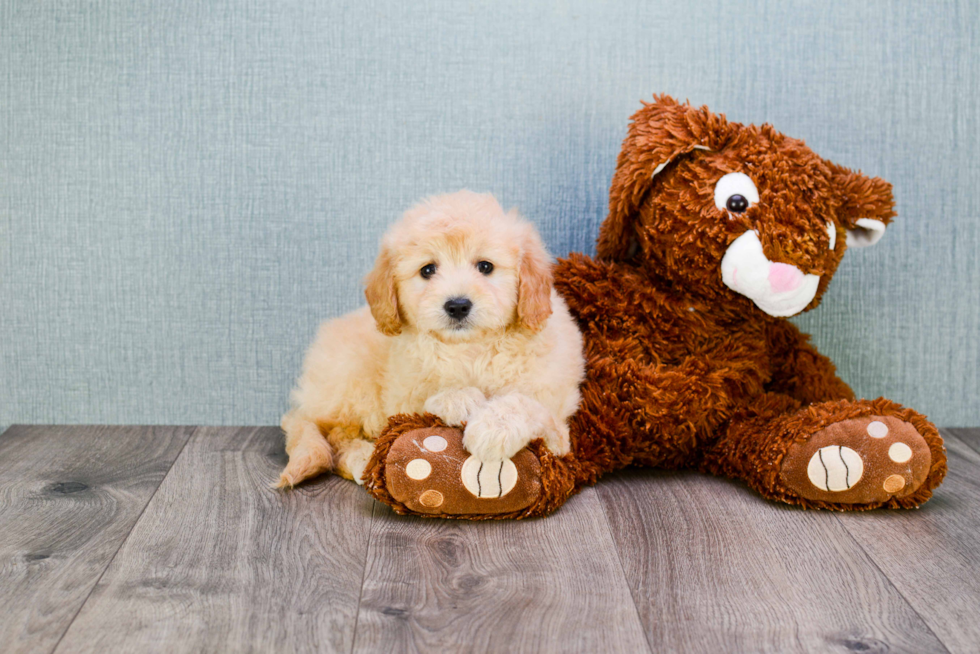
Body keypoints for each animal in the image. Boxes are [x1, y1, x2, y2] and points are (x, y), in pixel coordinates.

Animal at [278, 192, 580, 490]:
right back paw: (364, 459)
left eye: (485, 267)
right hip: (350, 381)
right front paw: (460, 398)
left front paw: (493, 427)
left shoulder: (559, 430)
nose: (457, 305)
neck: (471, 349)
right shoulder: (401, 396)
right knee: (336, 434)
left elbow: (527, 404)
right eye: (427, 270)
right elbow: (424, 400)